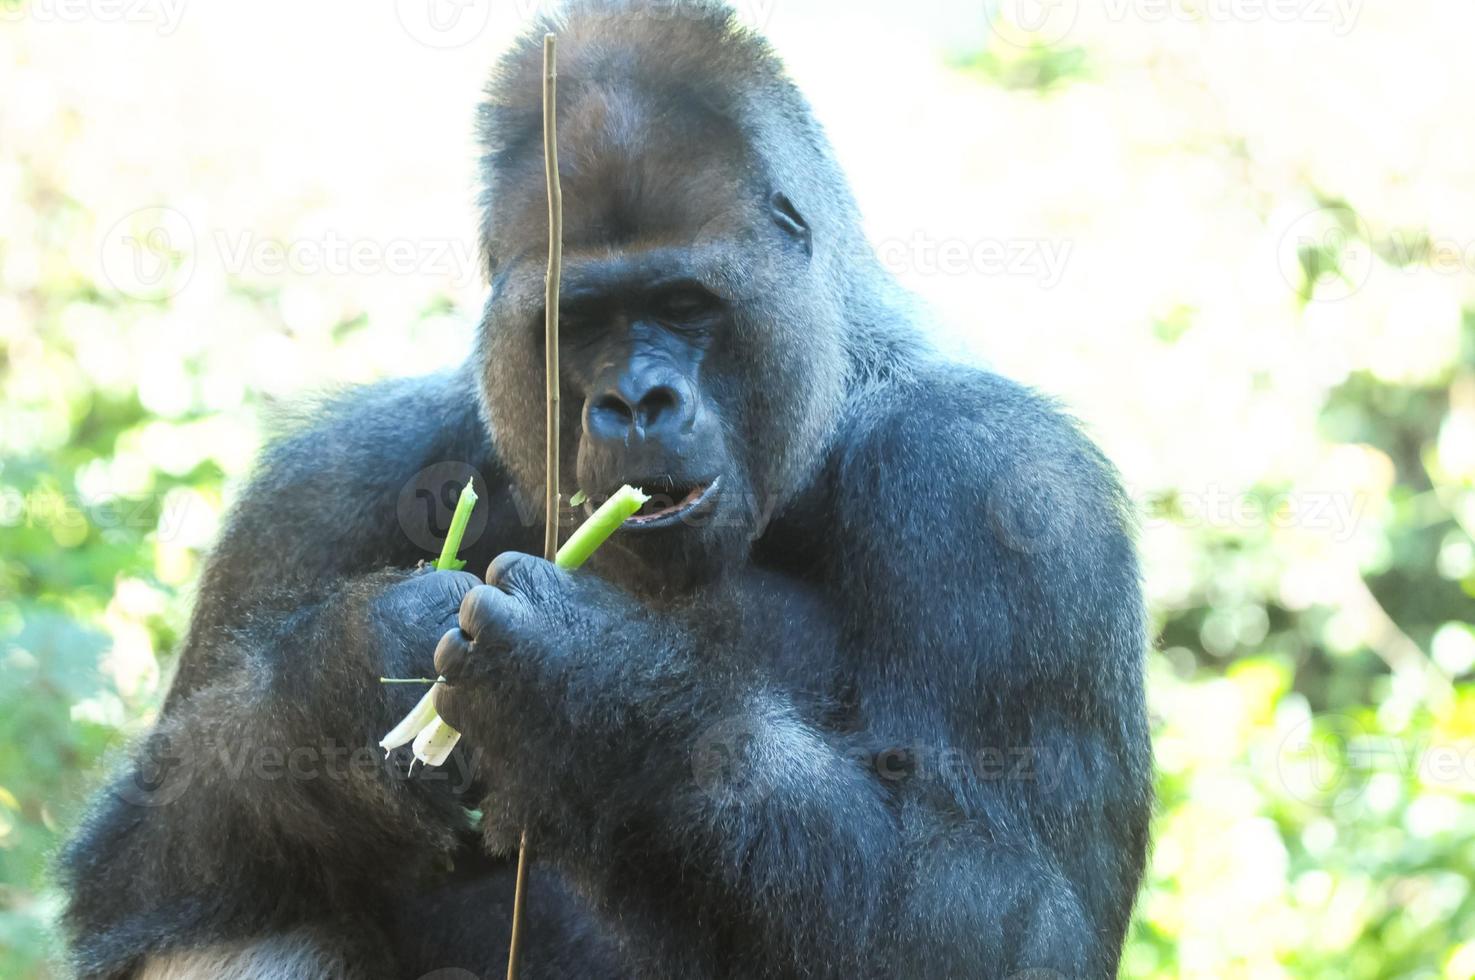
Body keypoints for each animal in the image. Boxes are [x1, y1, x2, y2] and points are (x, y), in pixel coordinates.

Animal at [57, 3, 1150, 974]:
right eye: (577, 321)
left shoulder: (1005, 483)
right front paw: (352, 675)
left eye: (683, 303)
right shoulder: (320, 483)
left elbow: (1013, 916)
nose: (634, 402)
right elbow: (129, 868)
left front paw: (590, 699)